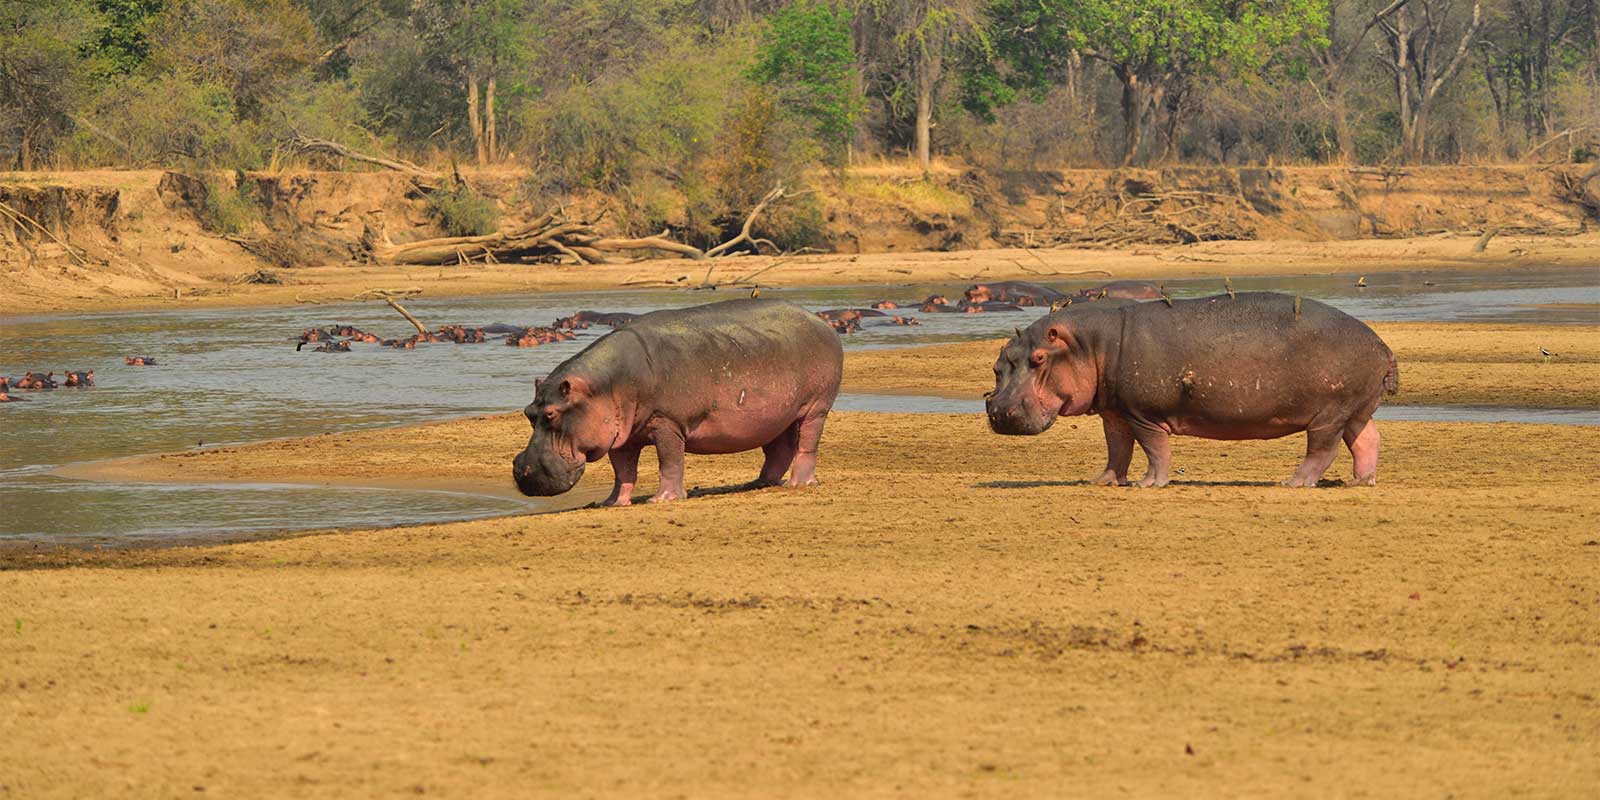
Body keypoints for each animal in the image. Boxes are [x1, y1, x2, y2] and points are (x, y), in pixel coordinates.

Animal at [513, 299, 843, 505]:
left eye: (552, 414)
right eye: (528, 412)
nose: (525, 471)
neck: (603, 386)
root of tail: (820, 321)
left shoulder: (666, 422)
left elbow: (669, 461)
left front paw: (663, 499)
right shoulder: (621, 436)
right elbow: (623, 472)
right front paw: (613, 502)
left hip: (816, 407)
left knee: (807, 444)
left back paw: (798, 483)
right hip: (777, 415)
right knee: (779, 449)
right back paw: (758, 483)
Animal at [986, 293, 1398, 488]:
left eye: (1039, 357)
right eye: (999, 363)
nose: (999, 410)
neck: (1090, 344)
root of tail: (1382, 345)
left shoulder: (1143, 413)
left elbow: (1155, 449)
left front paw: (1148, 484)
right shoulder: (1115, 412)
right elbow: (1117, 448)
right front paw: (1102, 481)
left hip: (1329, 412)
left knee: (1323, 449)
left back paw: (1293, 482)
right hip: (1355, 409)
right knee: (1367, 439)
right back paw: (1361, 480)